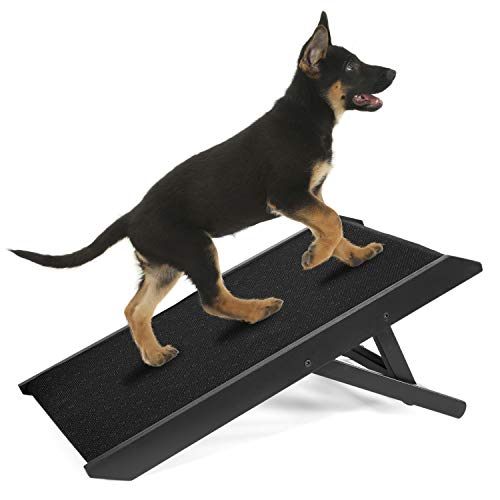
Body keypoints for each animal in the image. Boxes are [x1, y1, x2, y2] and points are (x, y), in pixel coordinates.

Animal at [11, 12, 396, 367]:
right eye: (351, 66)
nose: (393, 73)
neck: (307, 115)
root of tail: (131, 216)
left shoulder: (311, 195)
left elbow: (332, 226)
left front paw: (353, 255)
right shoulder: (289, 195)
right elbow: (332, 221)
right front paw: (316, 258)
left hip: (164, 265)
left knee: (134, 309)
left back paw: (154, 355)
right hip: (196, 248)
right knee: (210, 299)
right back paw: (257, 310)